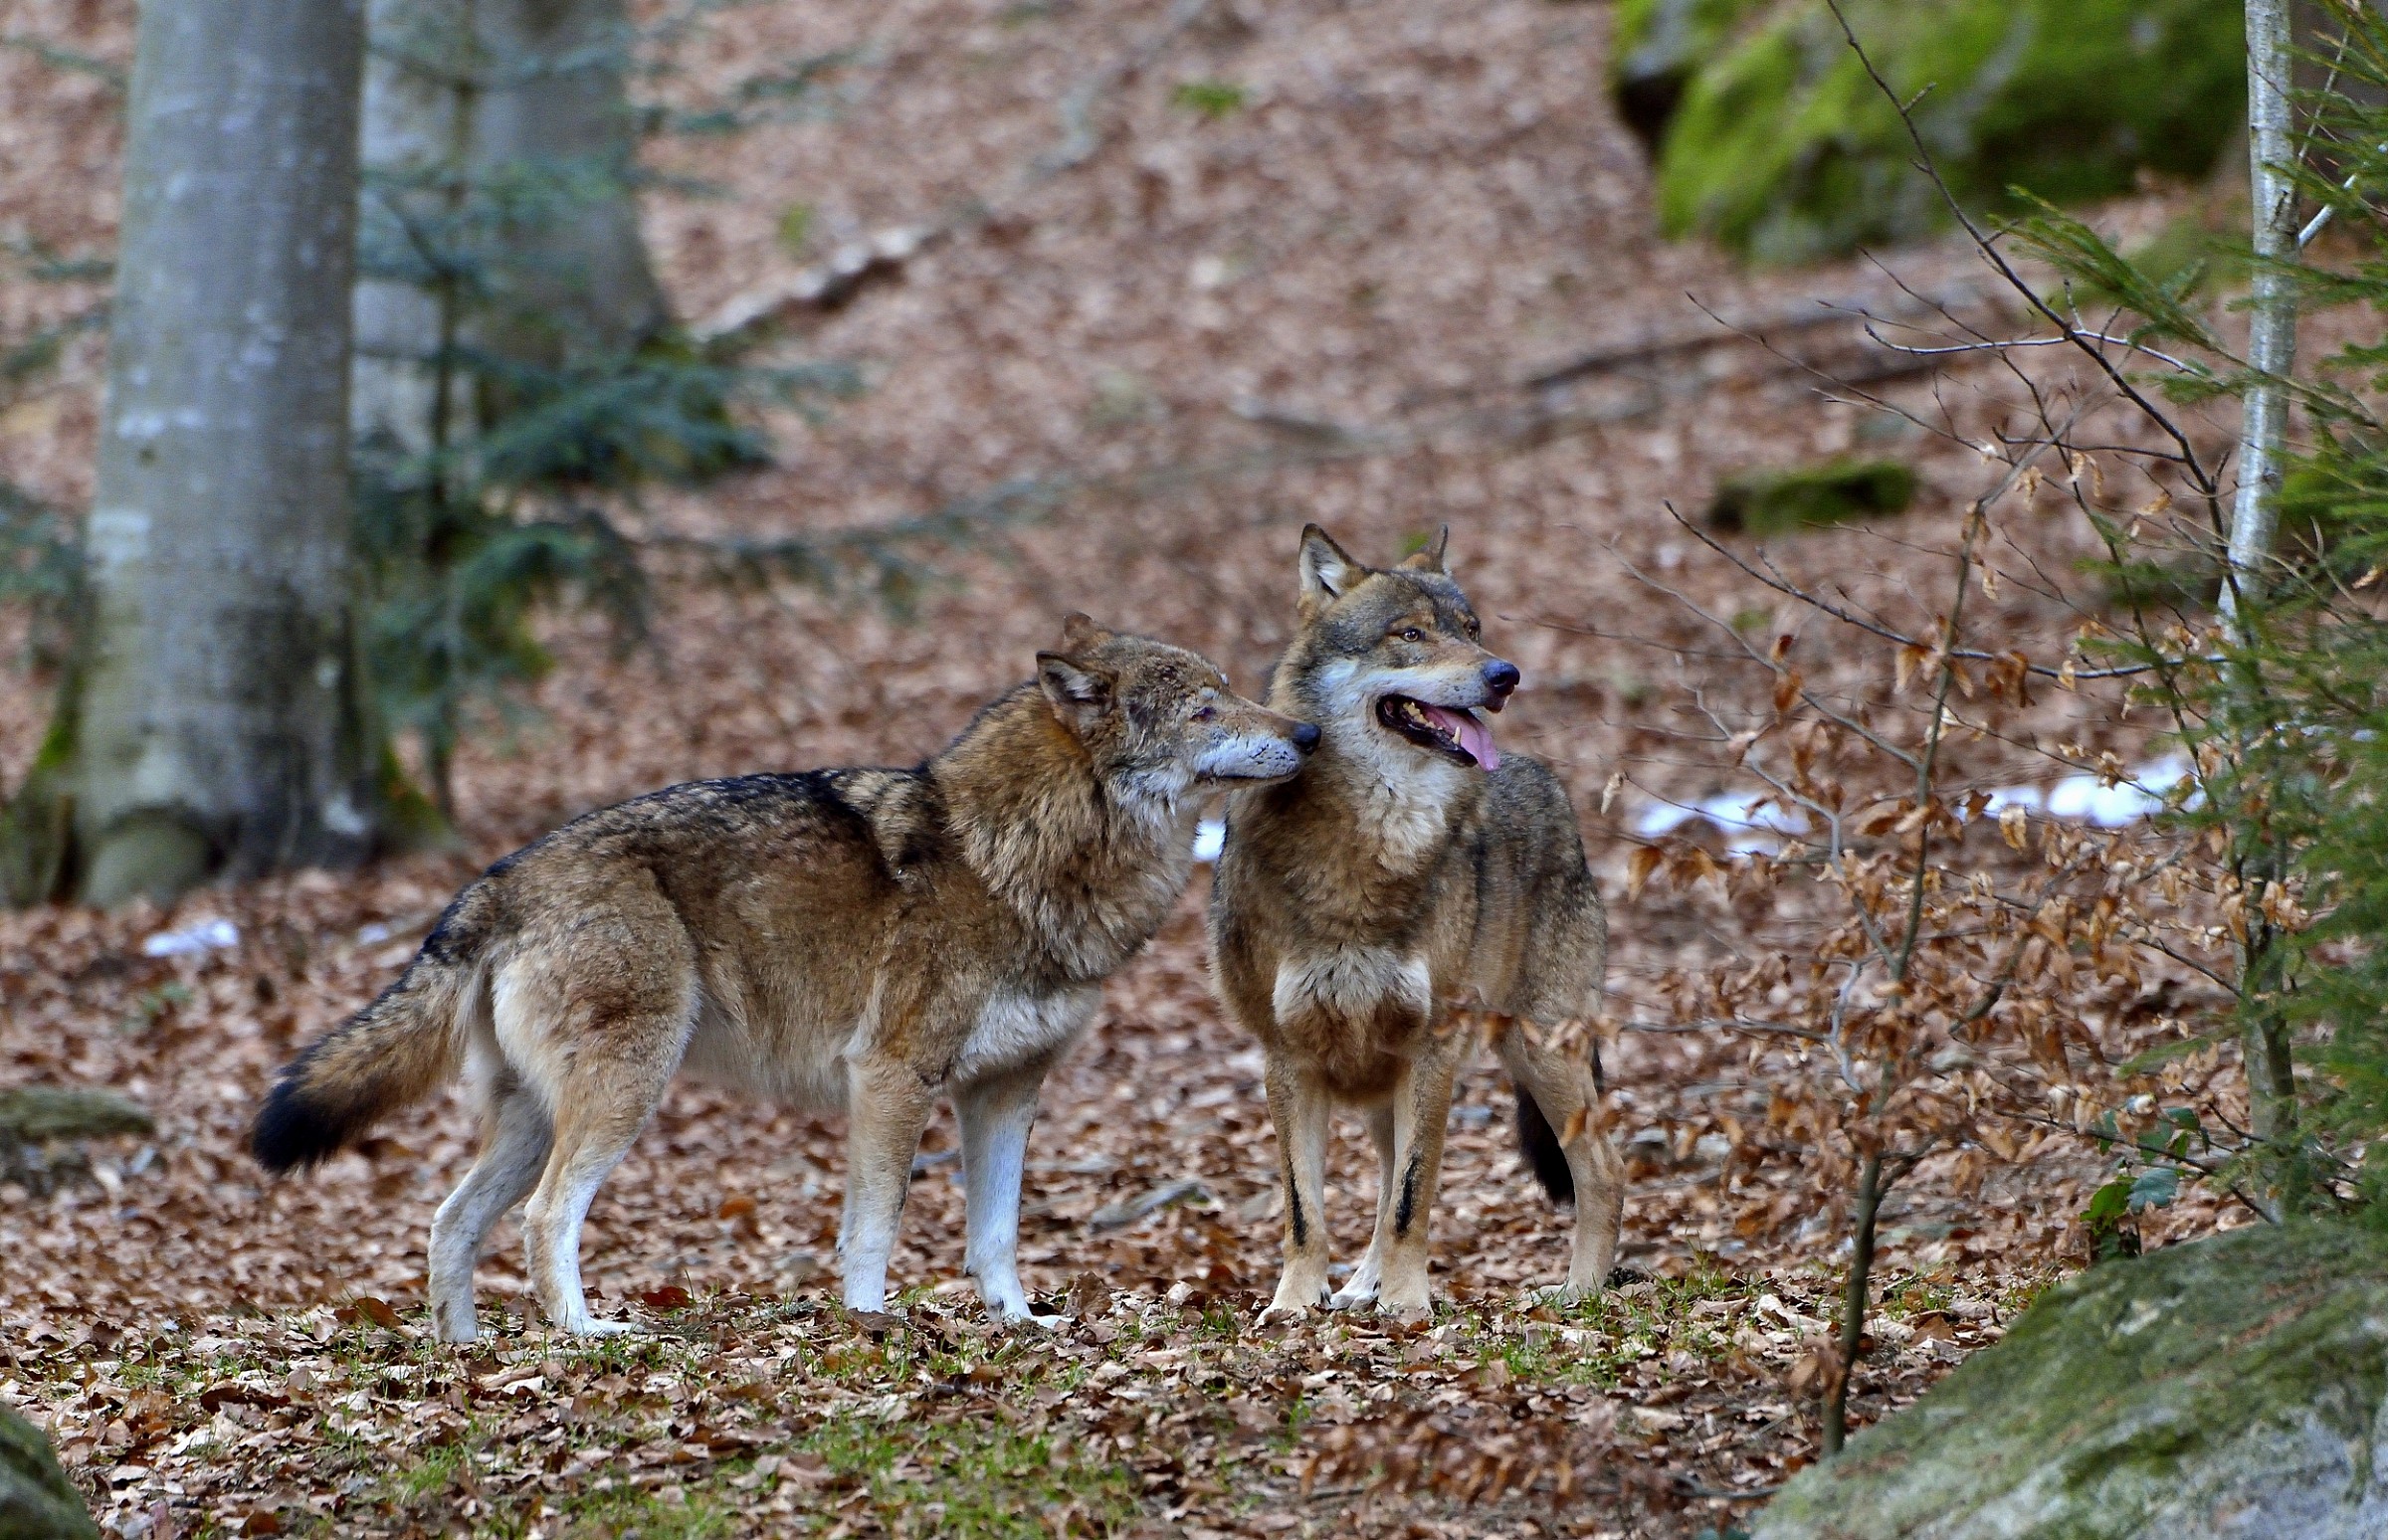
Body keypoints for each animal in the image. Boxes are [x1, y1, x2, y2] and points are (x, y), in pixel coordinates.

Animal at [249, 611, 1317, 1337]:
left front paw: (1018, 1325)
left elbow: (996, 1234)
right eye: (1206, 707)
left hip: (534, 1117)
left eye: (1231, 690)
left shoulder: (1006, 1092)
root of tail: (498, 880)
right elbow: (875, 1225)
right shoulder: (892, 1077)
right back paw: (585, 1336)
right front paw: (873, 1326)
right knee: (547, 1217)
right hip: (623, 1093)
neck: (1012, 854)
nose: (1308, 736)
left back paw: (466, 1351)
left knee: (449, 1222)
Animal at [1213, 527, 1624, 1317]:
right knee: (1380, 1179)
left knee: (1603, 1172)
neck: (1367, 847)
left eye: (1472, 630)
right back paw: (1359, 1288)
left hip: (1538, 1052)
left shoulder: (1432, 1049)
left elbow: (1412, 1196)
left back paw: (1579, 1293)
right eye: (1410, 635)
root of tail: (1550, 782)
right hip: (1385, 1072)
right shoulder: (1287, 1057)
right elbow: (1306, 1209)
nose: (1506, 675)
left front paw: (1407, 1305)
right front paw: (1295, 1304)